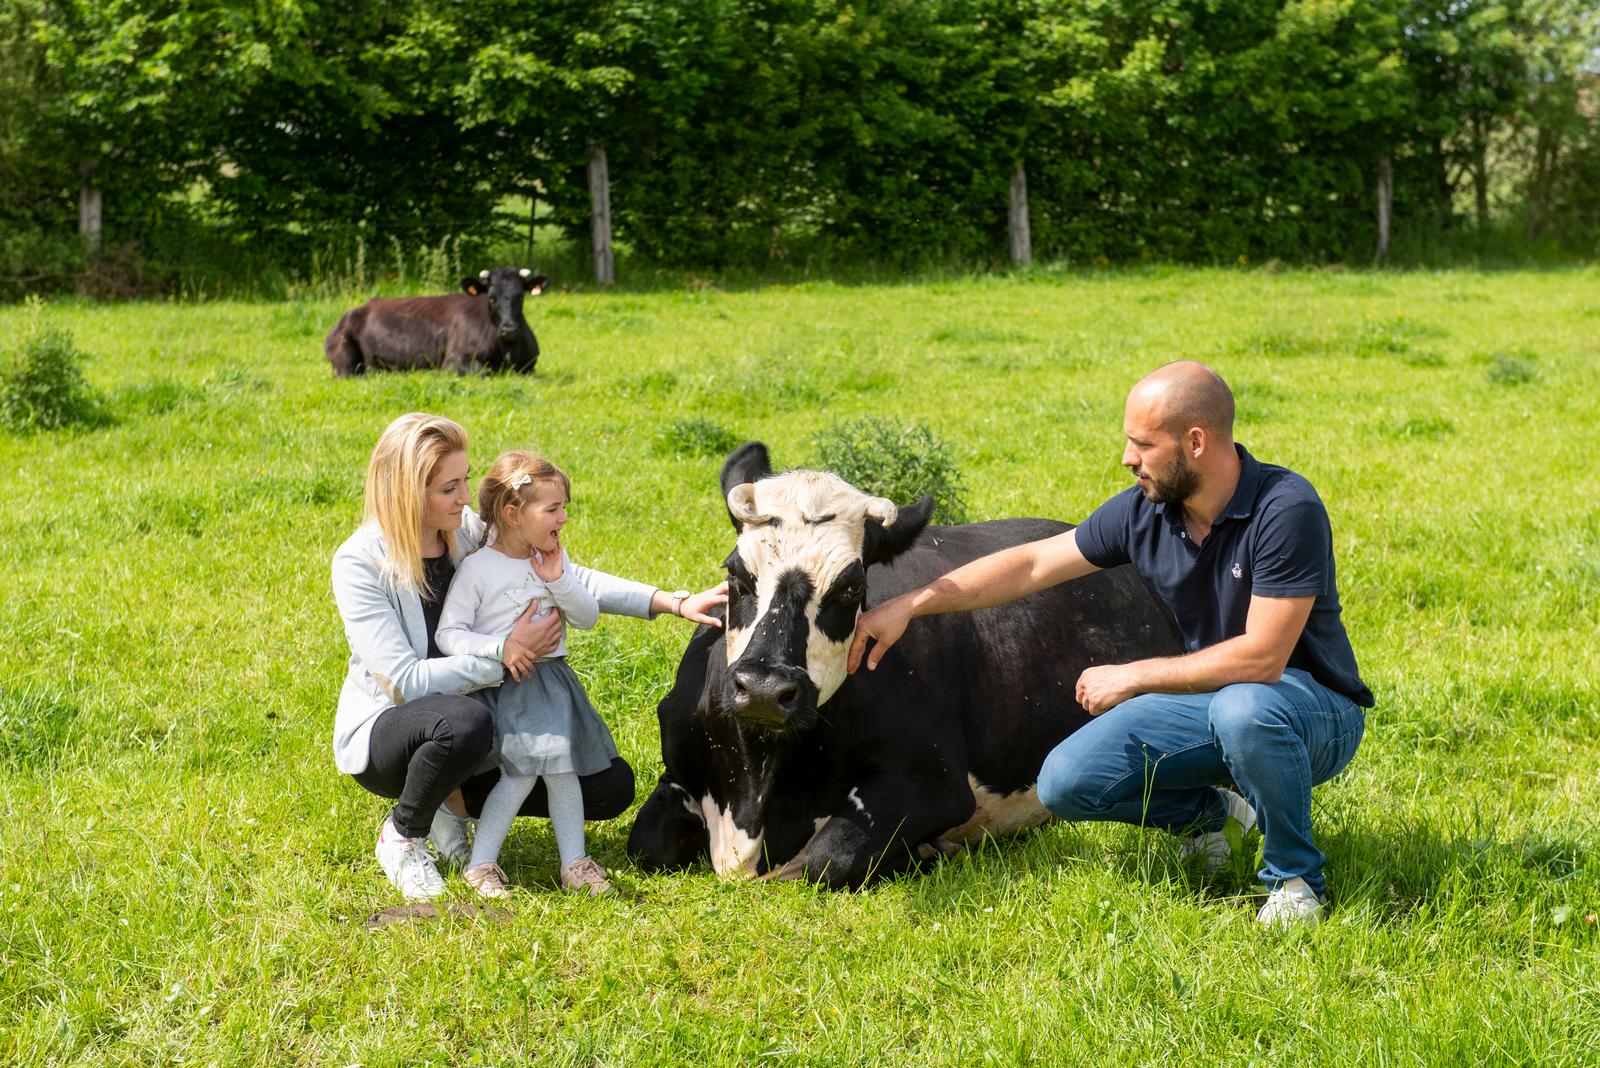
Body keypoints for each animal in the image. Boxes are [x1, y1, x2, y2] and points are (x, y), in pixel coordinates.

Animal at [324, 266, 549, 376]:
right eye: (491, 297)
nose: (509, 329)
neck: (506, 351)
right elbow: (483, 372)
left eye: (520, 296)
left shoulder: (529, 364)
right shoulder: (453, 360)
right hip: (343, 355)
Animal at [625, 442, 1186, 889]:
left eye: (852, 587)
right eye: (736, 574)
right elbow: (644, 844)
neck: (759, 790)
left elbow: (823, 860)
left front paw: (925, 852)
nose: (764, 688)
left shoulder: (935, 783)